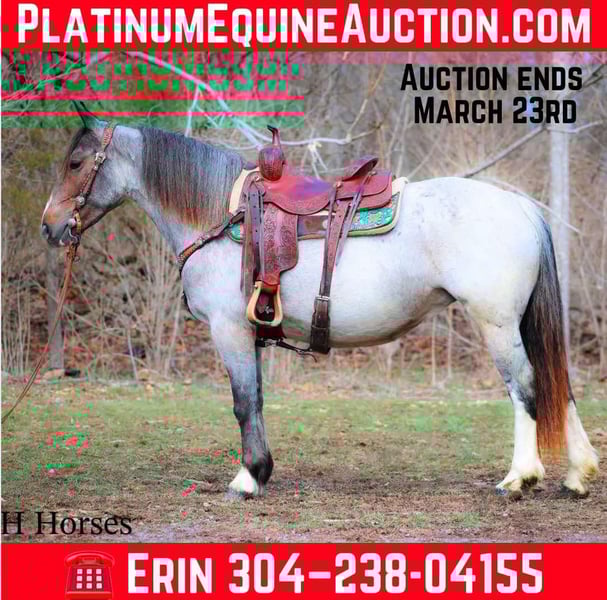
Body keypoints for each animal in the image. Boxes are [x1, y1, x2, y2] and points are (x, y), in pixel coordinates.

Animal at [41, 106, 599, 499]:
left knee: (526, 386)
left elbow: (243, 402)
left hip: (497, 324)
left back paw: (519, 478)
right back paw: (577, 474)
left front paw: (248, 478)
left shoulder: (229, 329)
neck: (221, 217)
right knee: (559, 384)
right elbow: (257, 400)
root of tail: (521, 206)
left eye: (75, 163)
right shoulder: (251, 332)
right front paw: (261, 471)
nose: (50, 227)